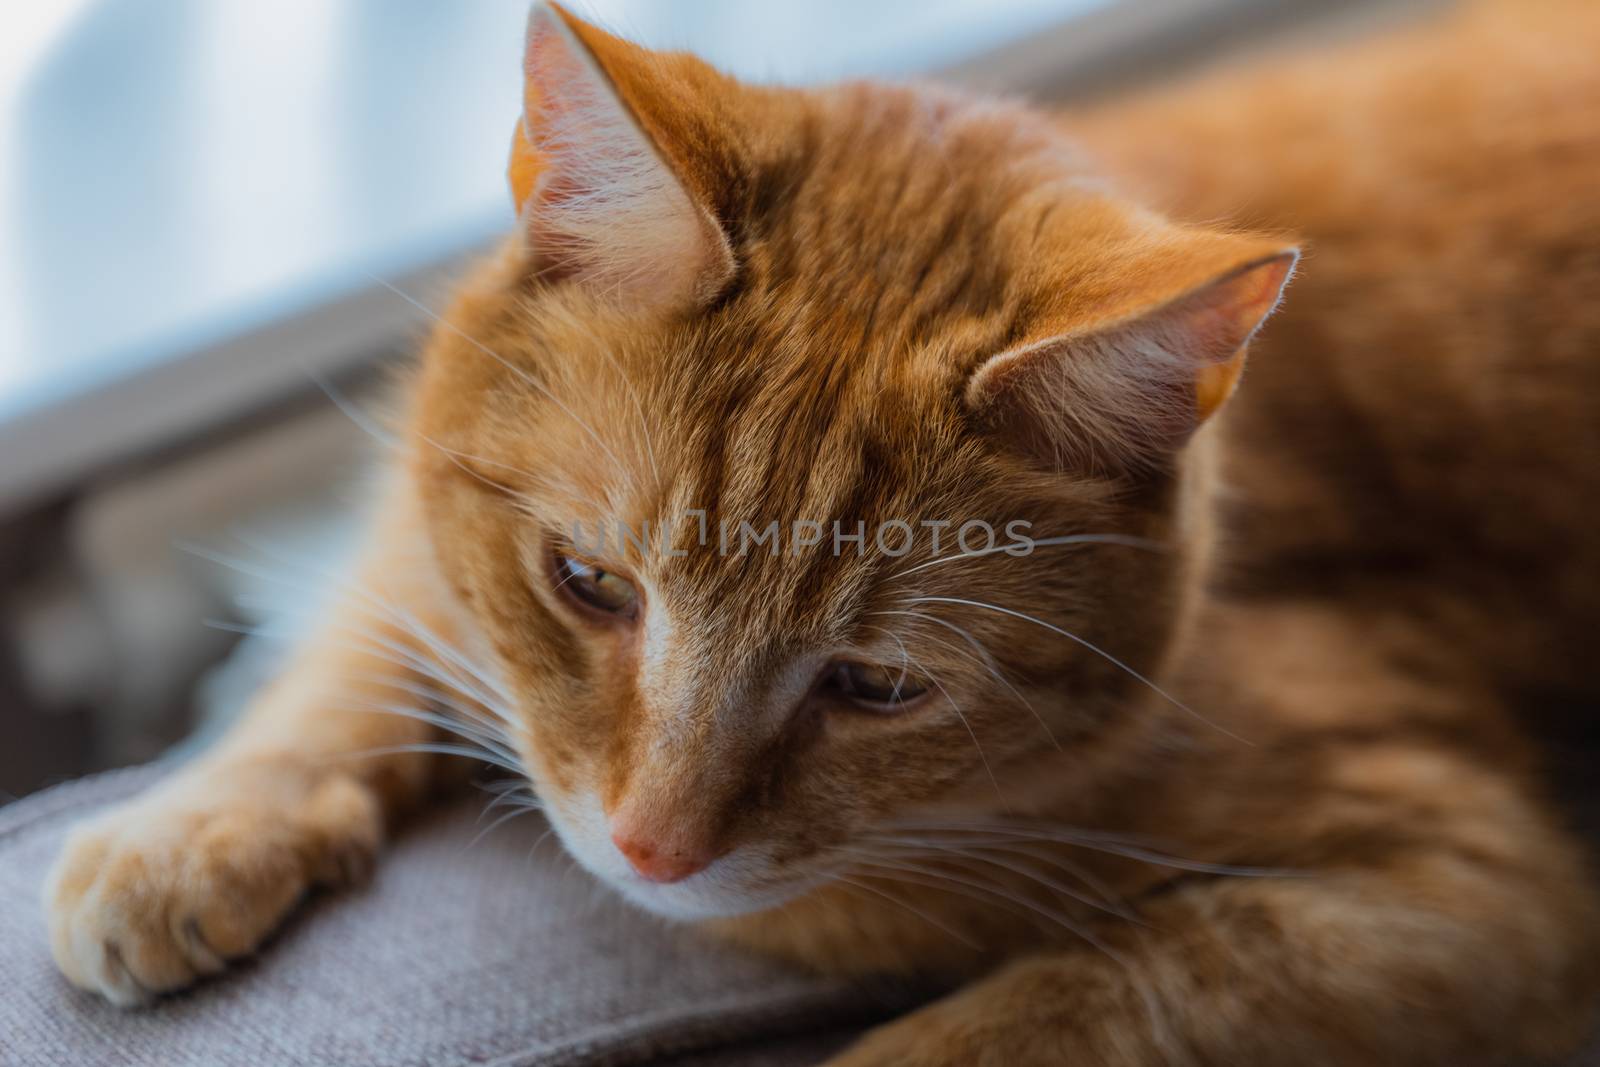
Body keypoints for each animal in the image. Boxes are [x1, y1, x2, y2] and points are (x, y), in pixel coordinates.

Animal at [43, 4, 1600, 1062]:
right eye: (587, 583)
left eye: (878, 686)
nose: (650, 848)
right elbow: (368, 627)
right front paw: (191, 824)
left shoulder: (1467, 895)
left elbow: (1062, 1005)